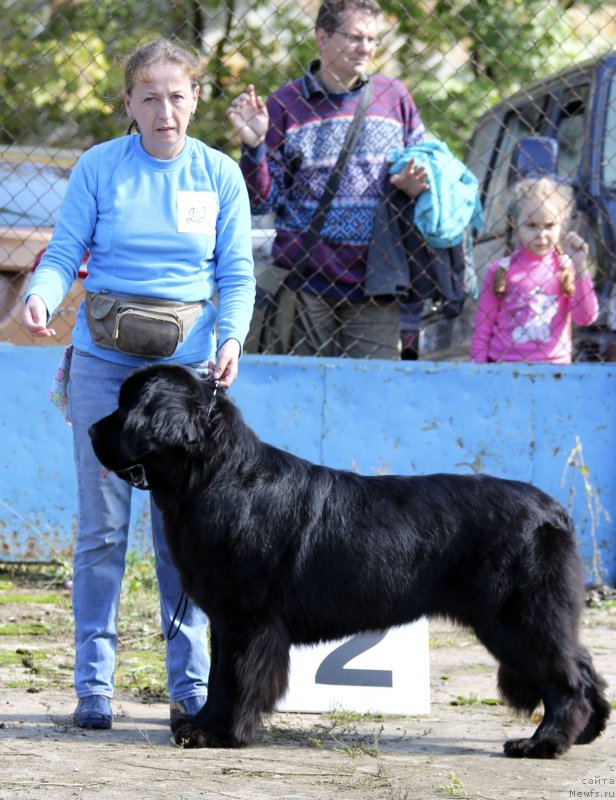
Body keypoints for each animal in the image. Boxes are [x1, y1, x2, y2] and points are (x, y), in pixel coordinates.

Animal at [89, 362, 608, 756]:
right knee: (583, 665)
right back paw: (589, 731)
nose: (91, 428)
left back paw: (542, 743)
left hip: (516, 618)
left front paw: (220, 734)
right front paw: (201, 725)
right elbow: (218, 678)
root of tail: (555, 511)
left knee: (566, 679)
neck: (214, 476)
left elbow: (235, 678)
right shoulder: (227, 618)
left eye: (125, 407)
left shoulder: (247, 619)